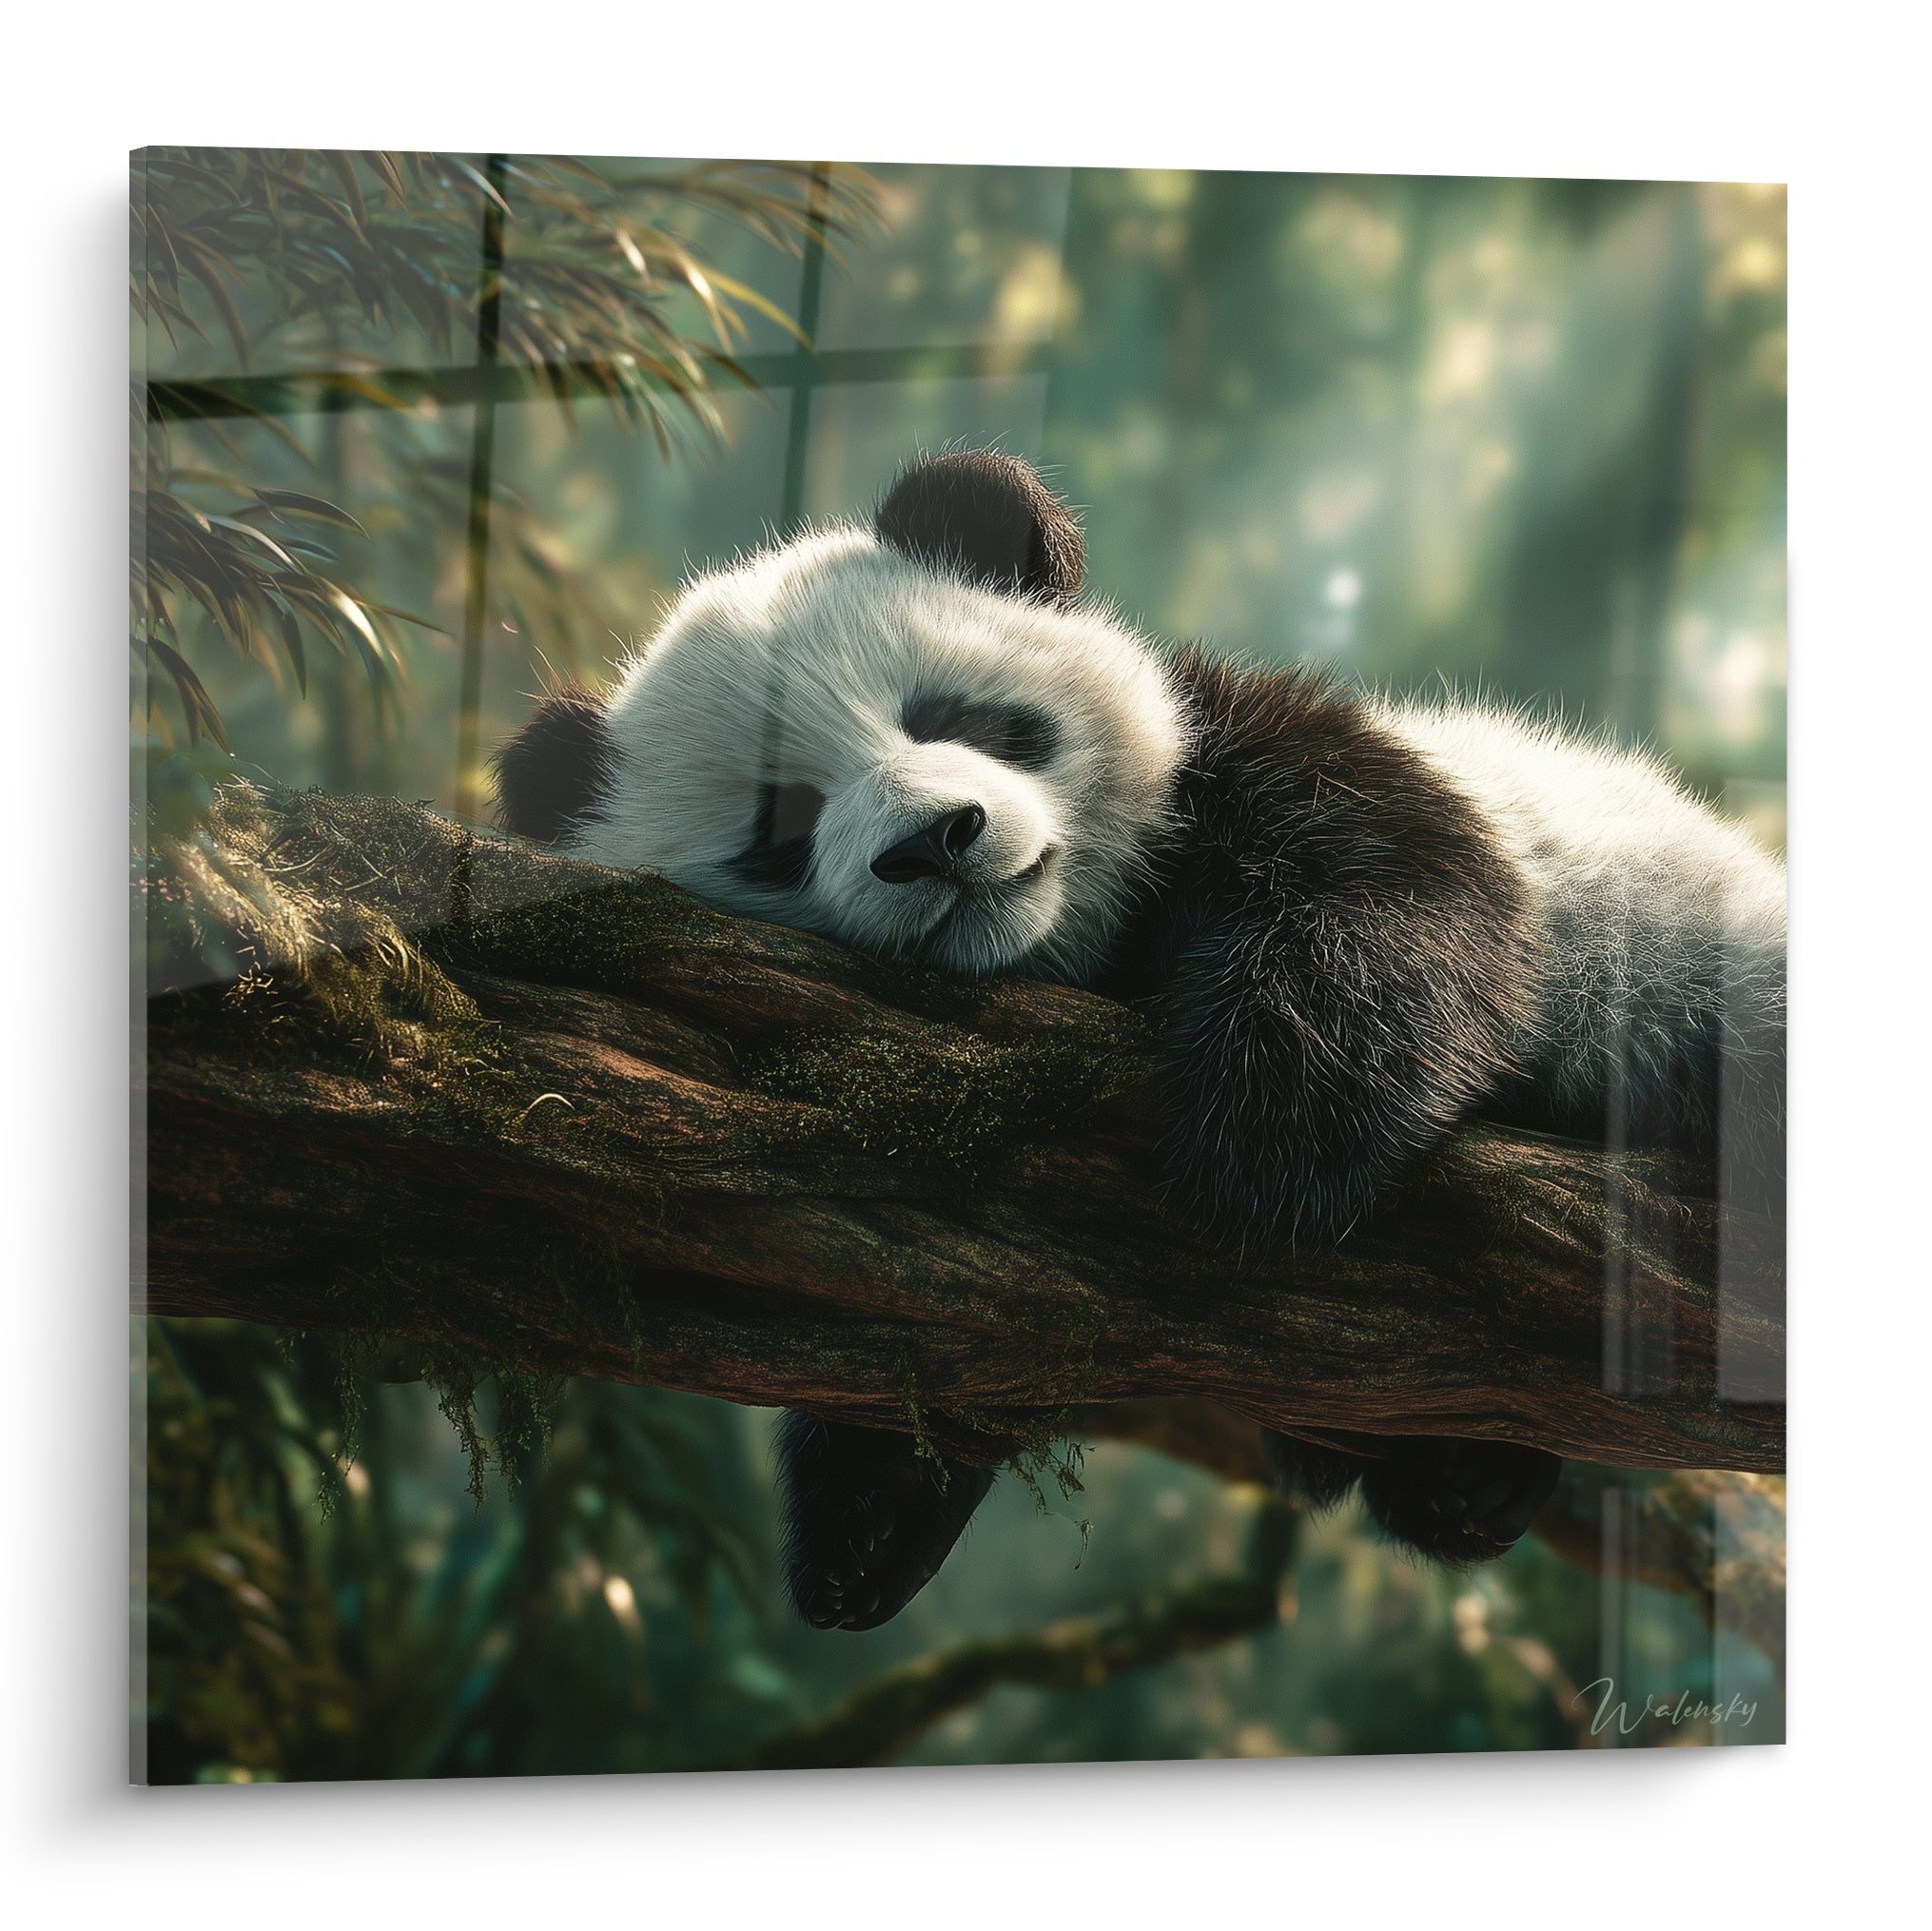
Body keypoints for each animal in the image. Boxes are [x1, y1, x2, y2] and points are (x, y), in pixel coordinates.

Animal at [493, 450, 1787, 1632]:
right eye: (783, 827)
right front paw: (863, 1512)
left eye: (958, 717)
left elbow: (1397, 889)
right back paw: (1462, 1478)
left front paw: (1273, 1140)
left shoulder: (1268, 755)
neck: (1085, 935)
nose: (936, 839)